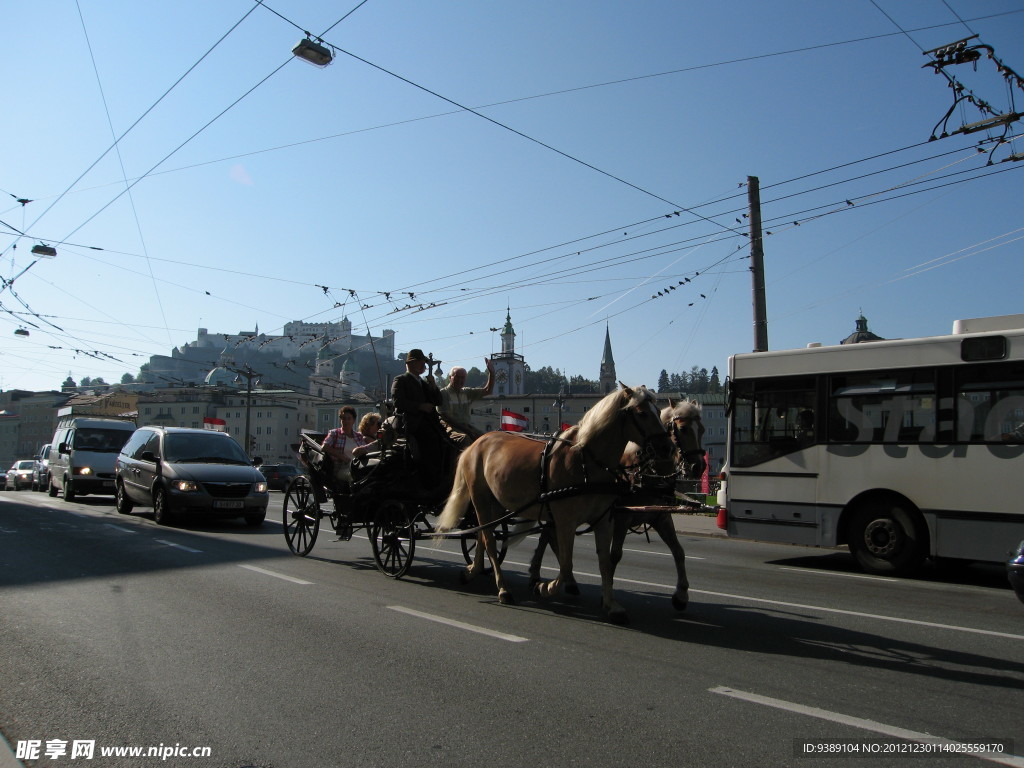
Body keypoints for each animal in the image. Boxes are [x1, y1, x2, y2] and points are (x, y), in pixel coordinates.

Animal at [436, 385, 675, 626]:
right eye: (642, 413)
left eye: (658, 411)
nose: (667, 447)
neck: (586, 461)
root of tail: (476, 443)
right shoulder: (565, 520)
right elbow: (566, 564)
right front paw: (545, 587)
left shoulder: (603, 520)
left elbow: (605, 563)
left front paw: (611, 606)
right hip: (481, 499)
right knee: (490, 542)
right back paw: (503, 589)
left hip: (495, 504)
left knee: (482, 536)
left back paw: (472, 571)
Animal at [528, 399, 704, 610]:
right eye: (683, 429)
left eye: (702, 430)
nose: (698, 467)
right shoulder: (621, 517)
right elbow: (615, 555)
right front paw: (607, 594)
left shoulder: (661, 517)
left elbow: (679, 552)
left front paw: (681, 594)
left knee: (547, 536)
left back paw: (550, 576)